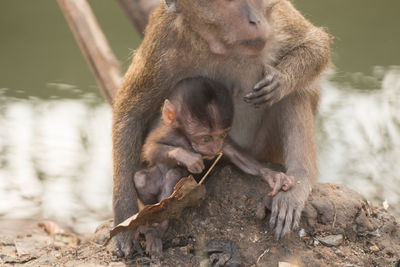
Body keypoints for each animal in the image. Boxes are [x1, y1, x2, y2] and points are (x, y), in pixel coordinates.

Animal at [134, 76, 294, 256]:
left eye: (221, 135)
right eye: (205, 138)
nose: (214, 148)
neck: (185, 138)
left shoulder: (223, 144)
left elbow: (240, 159)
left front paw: (273, 176)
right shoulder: (166, 132)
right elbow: (149, 149)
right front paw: (188, 157)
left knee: (173, 175)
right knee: (141, 179)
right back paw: (154, 225)